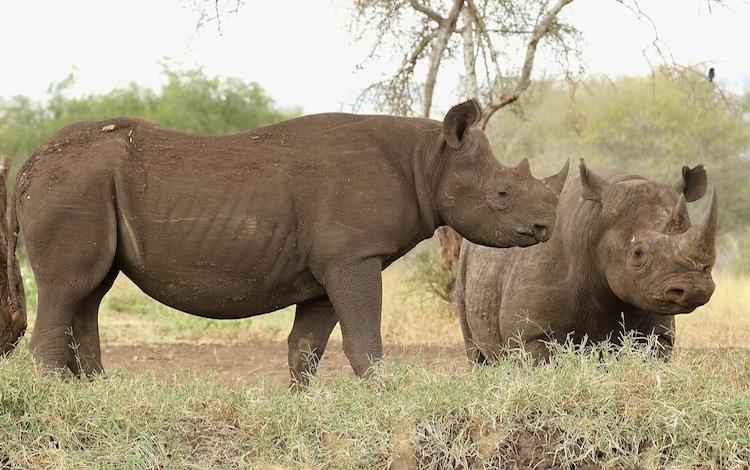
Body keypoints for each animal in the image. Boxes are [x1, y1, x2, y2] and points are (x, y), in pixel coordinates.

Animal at [0, 100, 569, 385]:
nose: (546, 228)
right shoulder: (354, 254)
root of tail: (27, 164)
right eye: (502, 194)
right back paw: (58, 396)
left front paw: (304, 404)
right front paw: (382, 394)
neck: (428, 160)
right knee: (70, 286)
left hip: (82, 186)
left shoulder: (330, 264)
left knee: (89, 290)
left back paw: (97, 394)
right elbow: (364, 338)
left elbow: (307, 347)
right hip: (70, 184)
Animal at [456, 160, 717, 363]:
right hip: (464, 262)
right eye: (637, 254)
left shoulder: (659, 334)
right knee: (475, 352)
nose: (695, 289)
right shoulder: (530, 335)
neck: (596, 226)